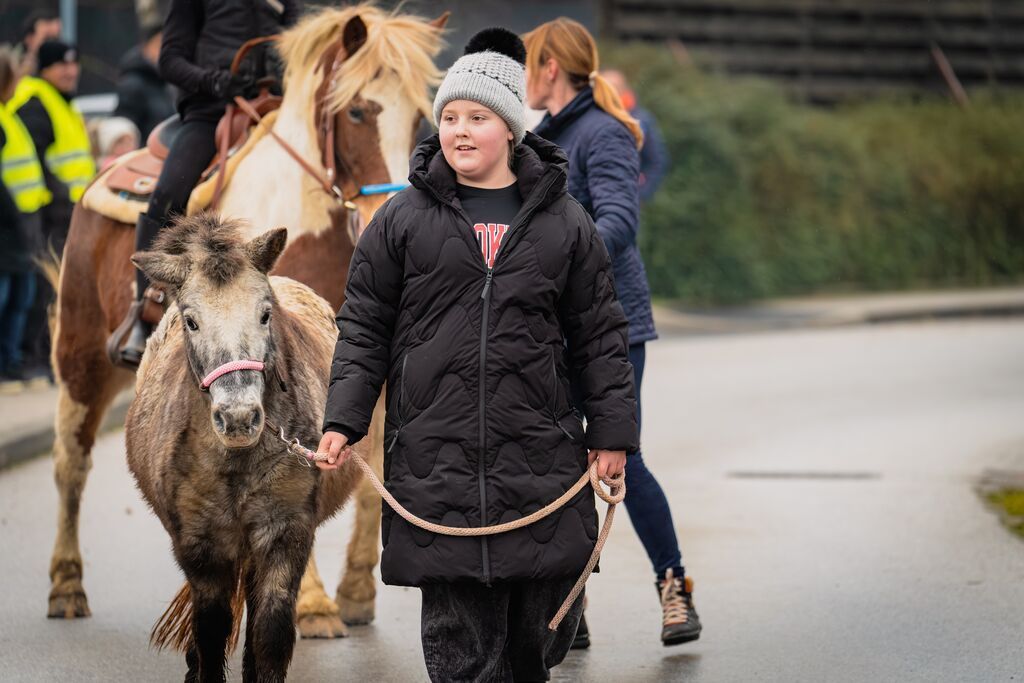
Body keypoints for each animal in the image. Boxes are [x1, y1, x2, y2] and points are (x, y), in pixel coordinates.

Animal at [126, 213, 361, 681]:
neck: (236, 461)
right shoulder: (199, 544)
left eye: (265, 313)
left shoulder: (284, 532)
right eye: (191, 321)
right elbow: (211, 630)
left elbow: (269, 631)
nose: (238, 418)